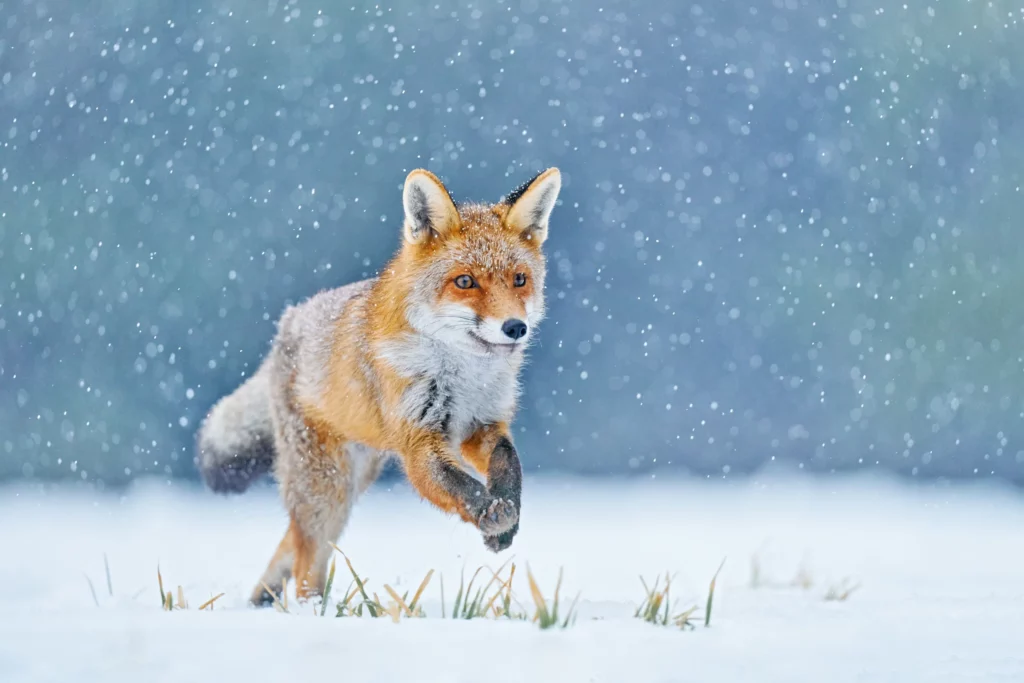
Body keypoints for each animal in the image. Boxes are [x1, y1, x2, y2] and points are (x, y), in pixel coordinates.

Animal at [192, 167, 561, 606]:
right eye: (465, 281)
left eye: (520, 280)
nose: (515, 327)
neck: (464, 377)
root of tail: (288, 323)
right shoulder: (419, 441)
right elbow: (458, 486)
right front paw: (491, 515)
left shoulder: (483, 425)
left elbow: (510, 466)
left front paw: (507, 520)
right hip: (326, 488)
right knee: (306, 564)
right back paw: (310, 611)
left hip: (351, 482)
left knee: (291, 546)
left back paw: (260, 603)